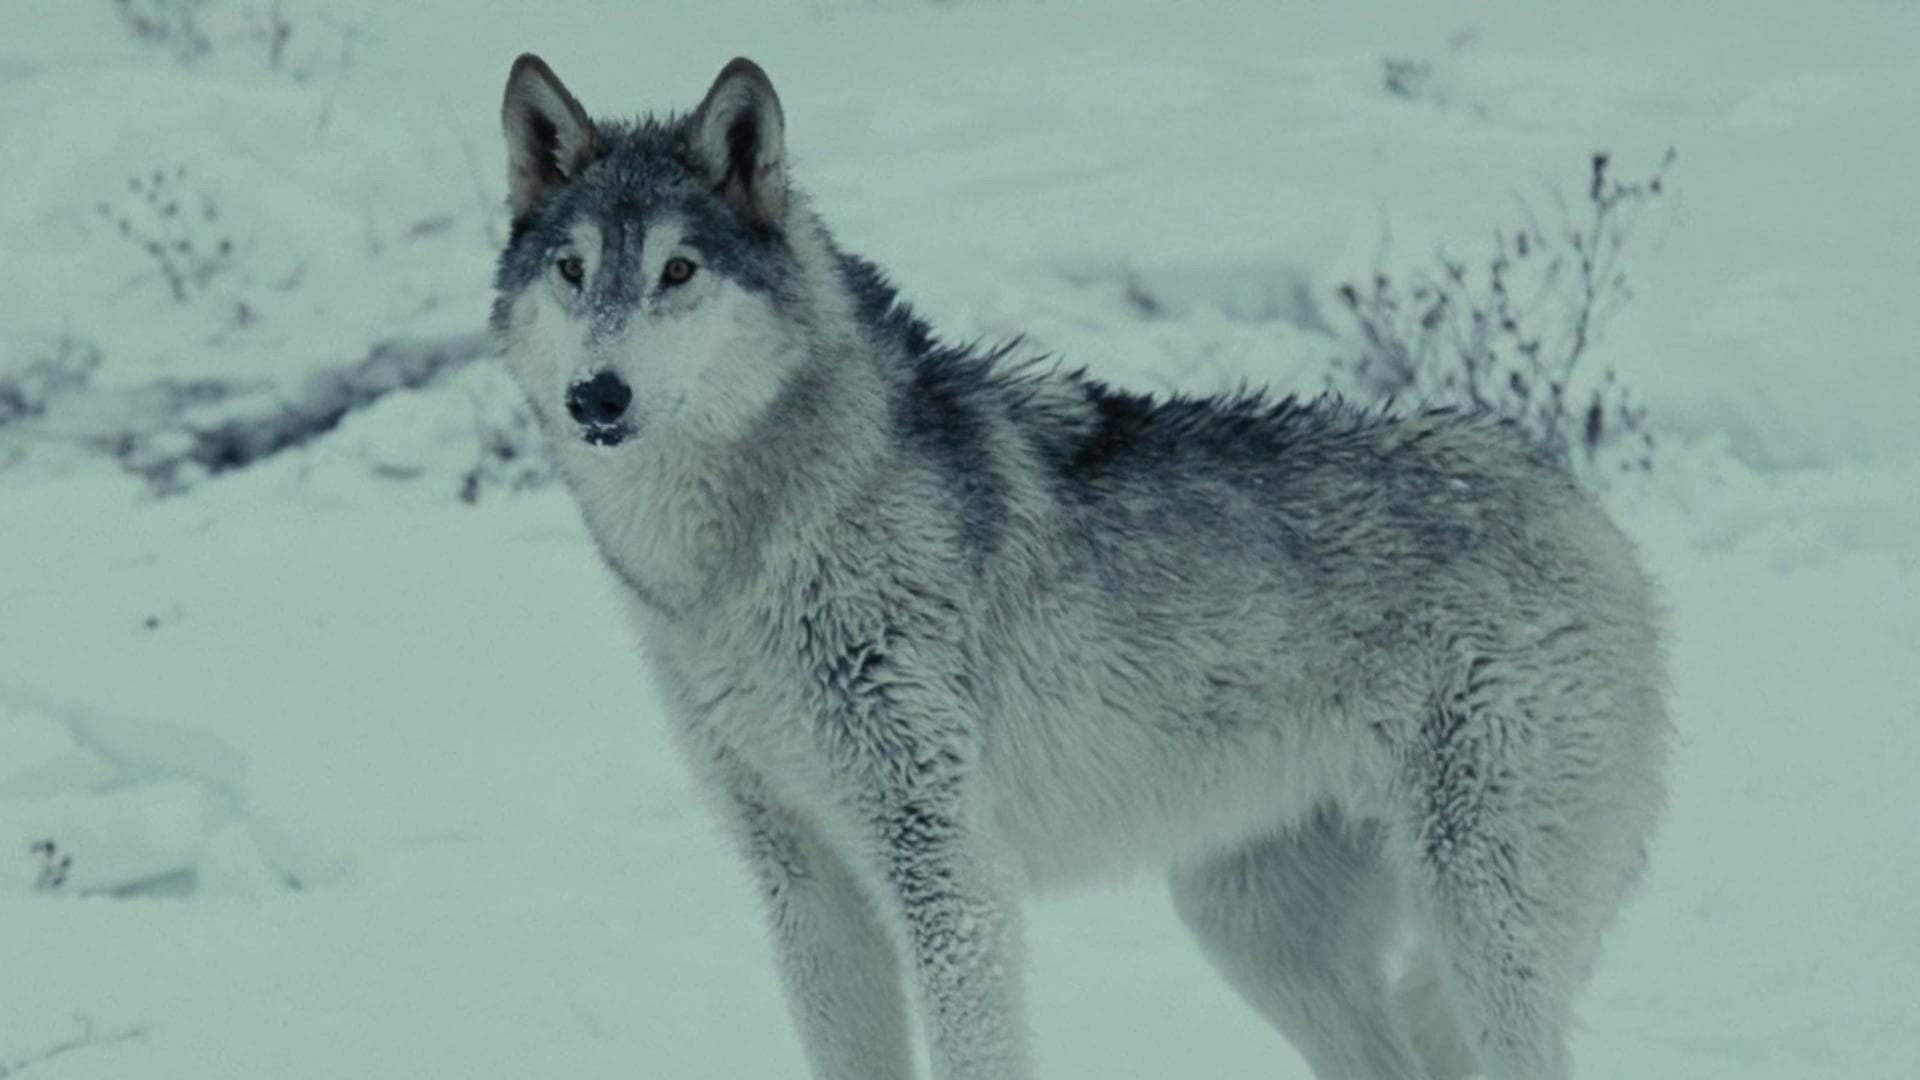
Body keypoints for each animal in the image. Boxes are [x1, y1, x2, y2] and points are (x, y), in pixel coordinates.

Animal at [490, 53, 1669, 1080]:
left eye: (678, 271)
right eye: (573, 271)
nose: (596, 397)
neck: (741, 557)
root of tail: (1577, 499)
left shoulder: (948, 866)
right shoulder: (805, 885)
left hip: (1478, 931)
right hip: (1254, 930)